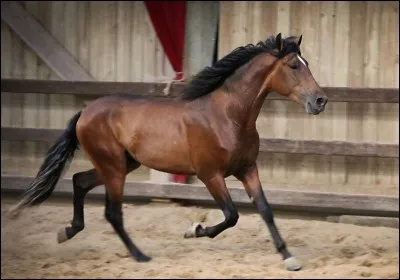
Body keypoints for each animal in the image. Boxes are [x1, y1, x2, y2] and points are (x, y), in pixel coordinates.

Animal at [8, 33, 328, 272]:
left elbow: (265, 210)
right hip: (114, 168)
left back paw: (67, 231)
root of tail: (85, 112)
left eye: (306, 62)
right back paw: (140, 256)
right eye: (293, 66)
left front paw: (289, 257)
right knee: (112, 212)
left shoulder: (247, 169)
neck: (228, 117)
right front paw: (193, 230)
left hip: (121, 165)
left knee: (80, 181)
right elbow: (231, 215)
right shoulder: (210, 175)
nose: (320, 100)